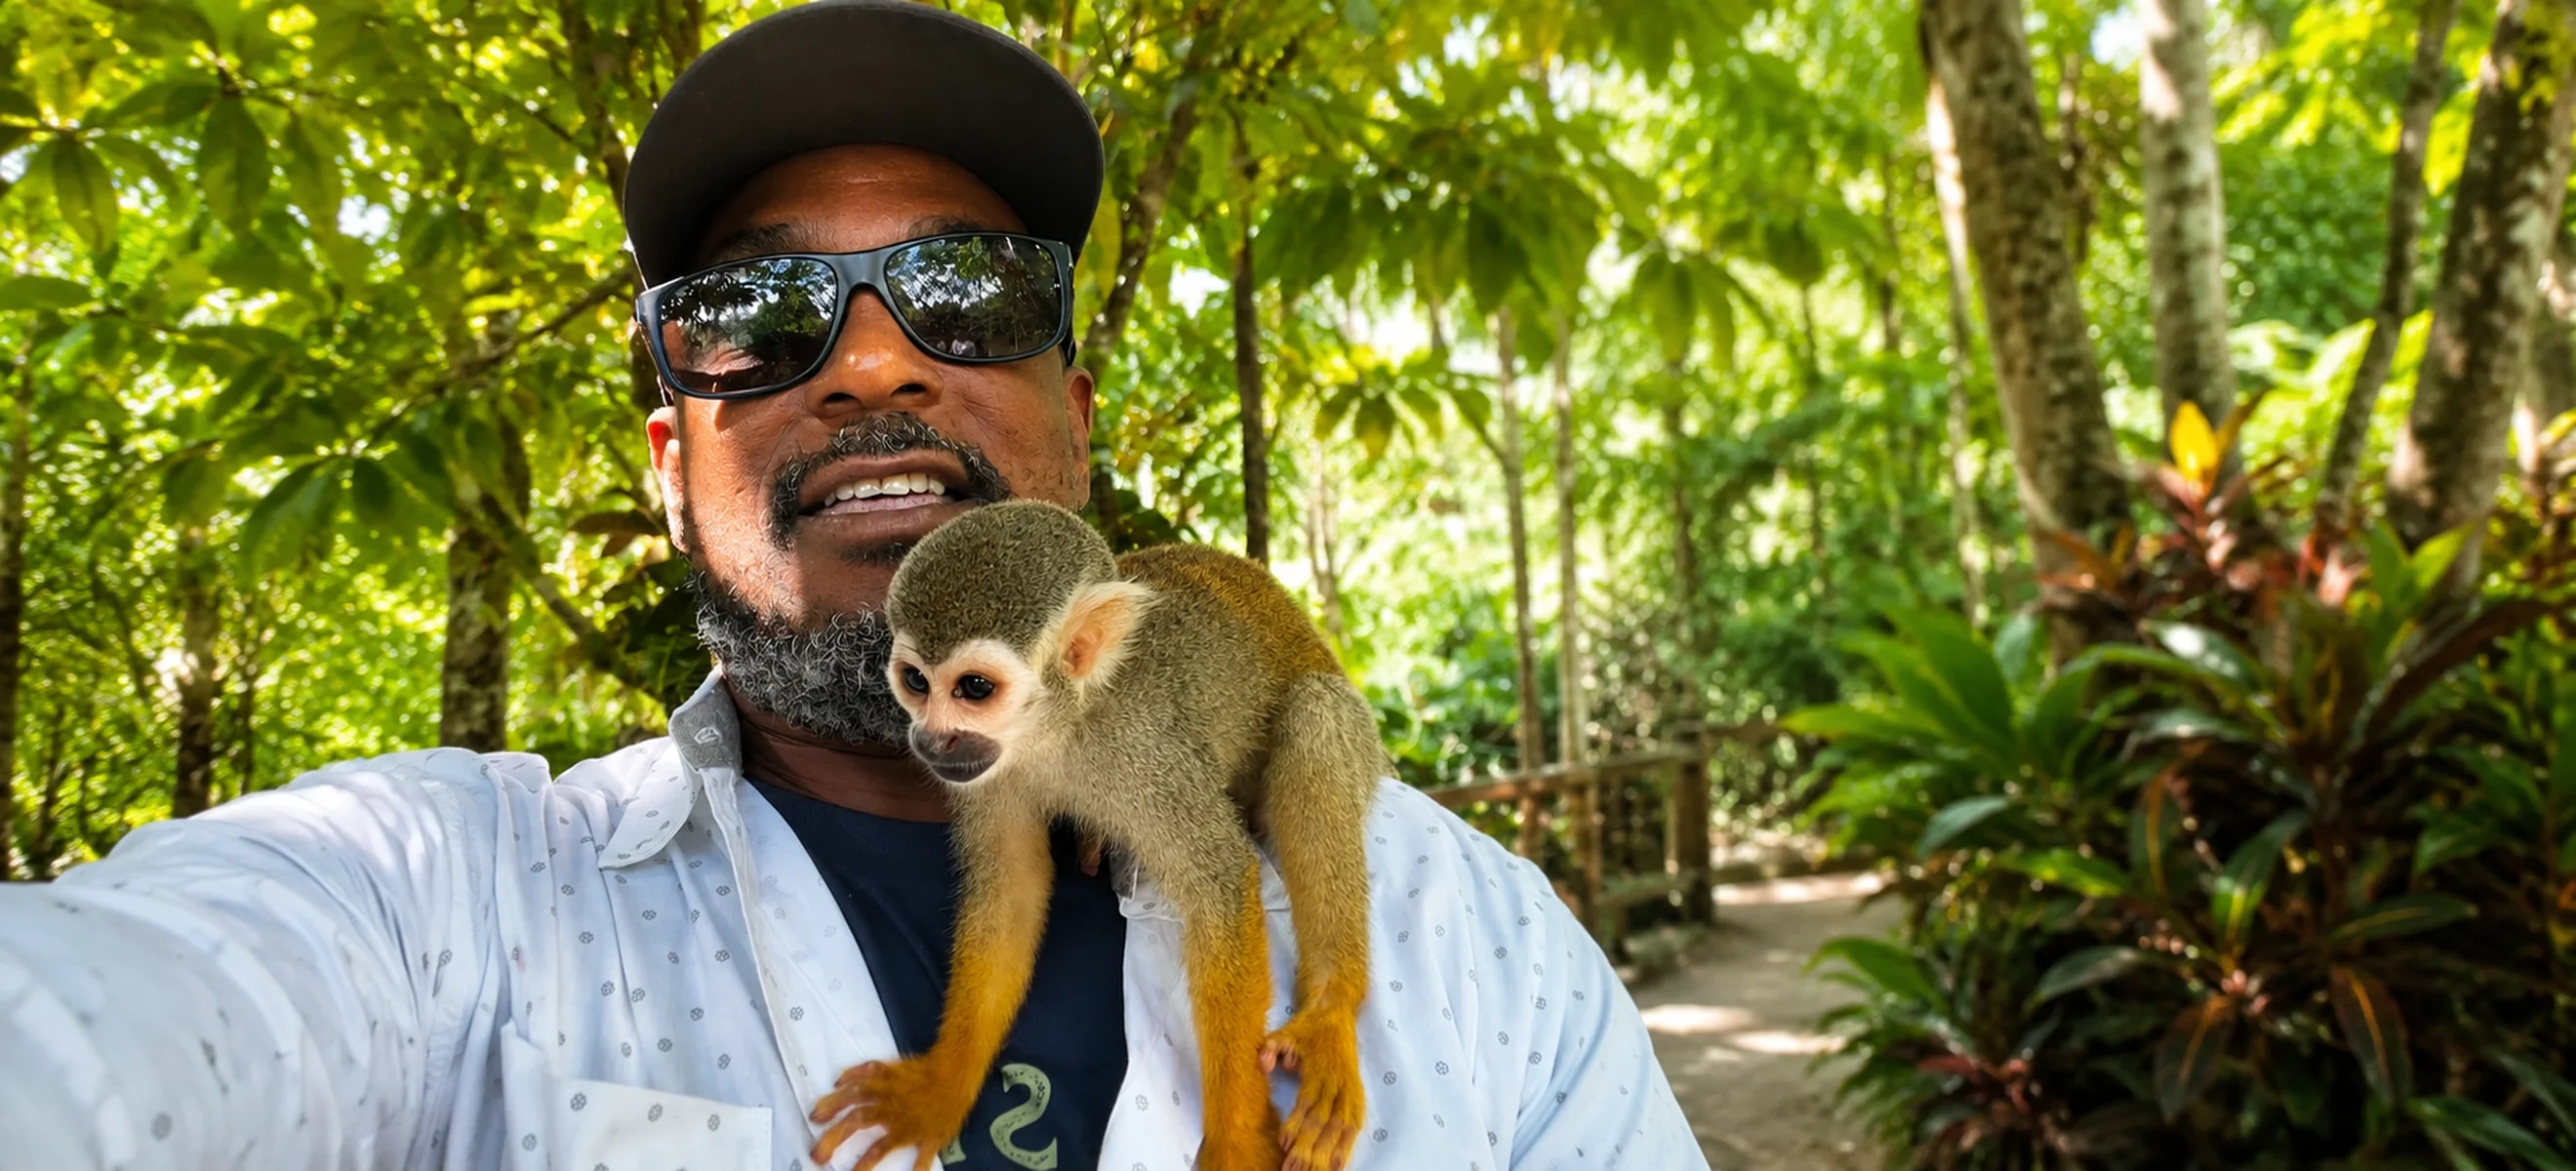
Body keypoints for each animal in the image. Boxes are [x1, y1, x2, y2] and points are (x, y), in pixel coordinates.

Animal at [806, 499, 1382, 1171]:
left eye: (974, 688)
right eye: (916, 682)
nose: (931, 740)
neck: (1062, 725)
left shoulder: (1145, 750)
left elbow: (1218, 882)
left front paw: (1237, 1138)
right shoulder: (991, 769)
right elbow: (1011, 889)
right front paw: (939, 1089)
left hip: (1358, 742)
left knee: (1316, 715)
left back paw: (1332, 1008)